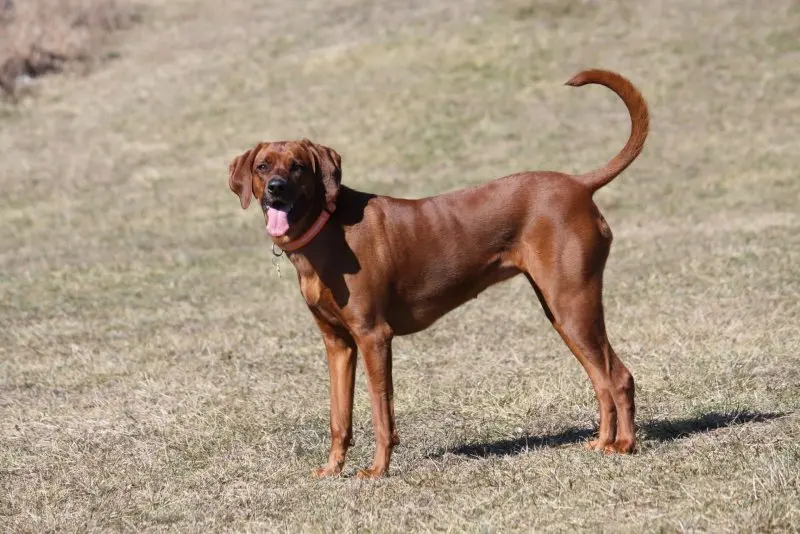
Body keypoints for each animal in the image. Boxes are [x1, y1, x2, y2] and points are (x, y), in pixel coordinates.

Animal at [227, 69, 648, 480]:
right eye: (263, 166)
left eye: (298, 166)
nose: (276, 189)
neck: (327, 229)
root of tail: (579, 184)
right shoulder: (338, 344)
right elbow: (339, 416)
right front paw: (333, 468)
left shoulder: (373, 336)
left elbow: (381, 411)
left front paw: (378, 470)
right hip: (561, 311)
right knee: (601, 379)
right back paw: (604, 442)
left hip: (573, 304)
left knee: (617, 377)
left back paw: (624, 445)